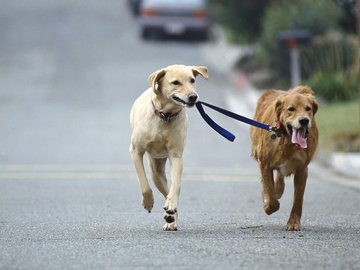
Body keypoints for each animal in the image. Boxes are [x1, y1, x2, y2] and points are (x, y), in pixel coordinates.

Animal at [129, 64, 208, 231]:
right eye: (175, 82)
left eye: (192, 80)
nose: (193, 96)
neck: (165, 116)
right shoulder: (135, 151)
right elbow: (144, 184)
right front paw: (148, 202)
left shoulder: (176, 155)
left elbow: (176, 185)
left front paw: (171, 206)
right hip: (155, 171)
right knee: (161, 186)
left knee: (169, 192)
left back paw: (171, 216)